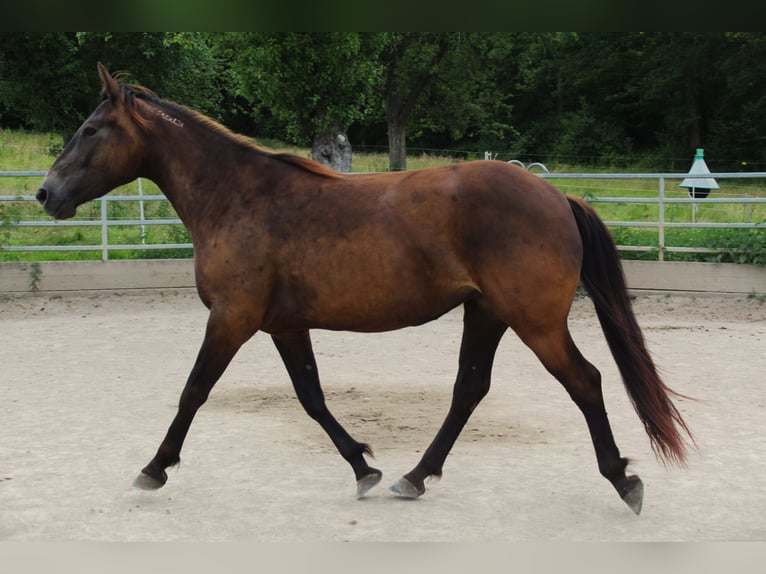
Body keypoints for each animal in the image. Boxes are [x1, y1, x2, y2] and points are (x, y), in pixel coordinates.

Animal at [37, 64, 696, 516]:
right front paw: (363, 468)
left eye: (90, 130)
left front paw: (154, 468)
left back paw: (624, 480)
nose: (46, 194)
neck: (238, 196)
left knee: (585, 382)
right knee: (470, 389)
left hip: (534, 321)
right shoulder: (283, 325)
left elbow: (193, 391)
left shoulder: (231, 318)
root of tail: (558, 195)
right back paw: (414, 476)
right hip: (486, 313)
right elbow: (311, 398)